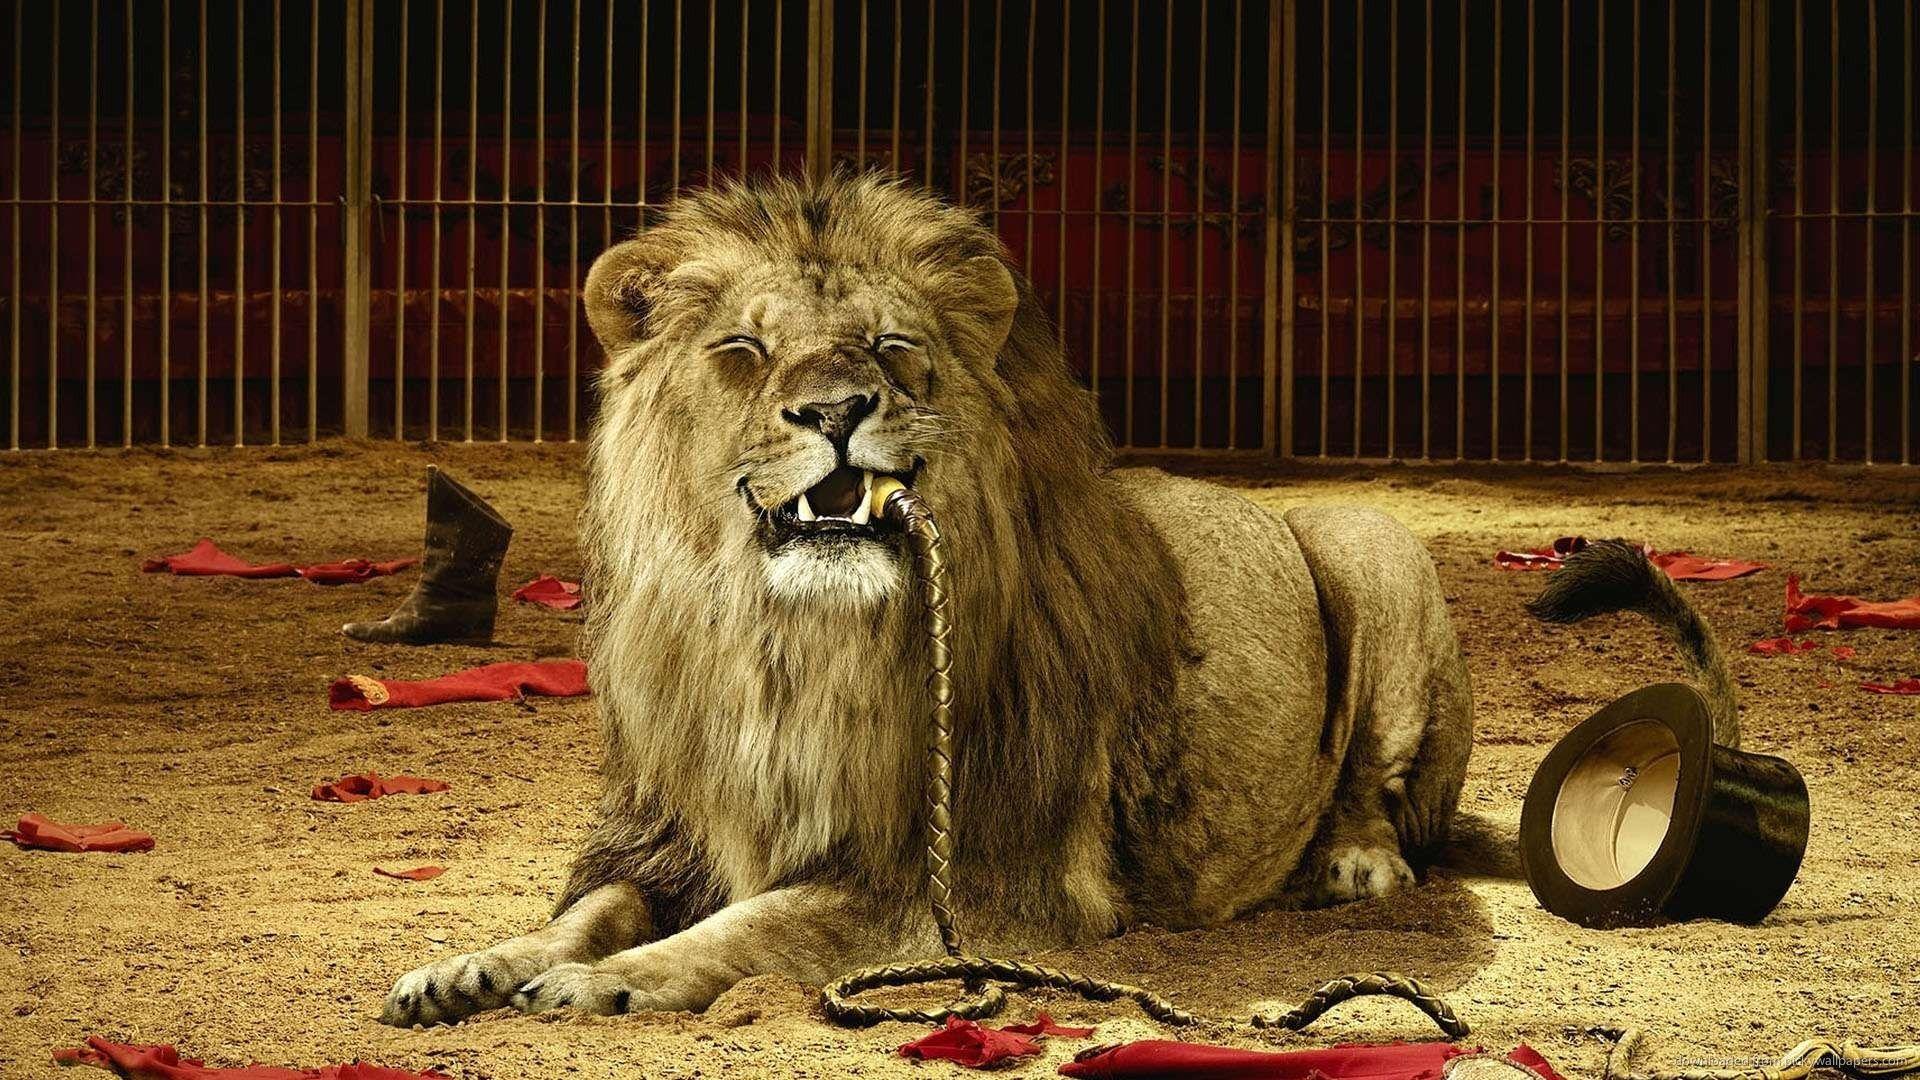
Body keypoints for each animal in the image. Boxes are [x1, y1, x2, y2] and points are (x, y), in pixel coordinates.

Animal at [380, 174, 1475, 1026]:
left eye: (891, 344)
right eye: (743, 350)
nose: (835, 410)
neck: (787, 647)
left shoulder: (979, 881)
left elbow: (757, 926)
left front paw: (606, 982)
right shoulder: (672, 834)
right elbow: (590, 910)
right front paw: (472, 966)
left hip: (1368, 542)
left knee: (1375, 782)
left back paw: (1357, 865)